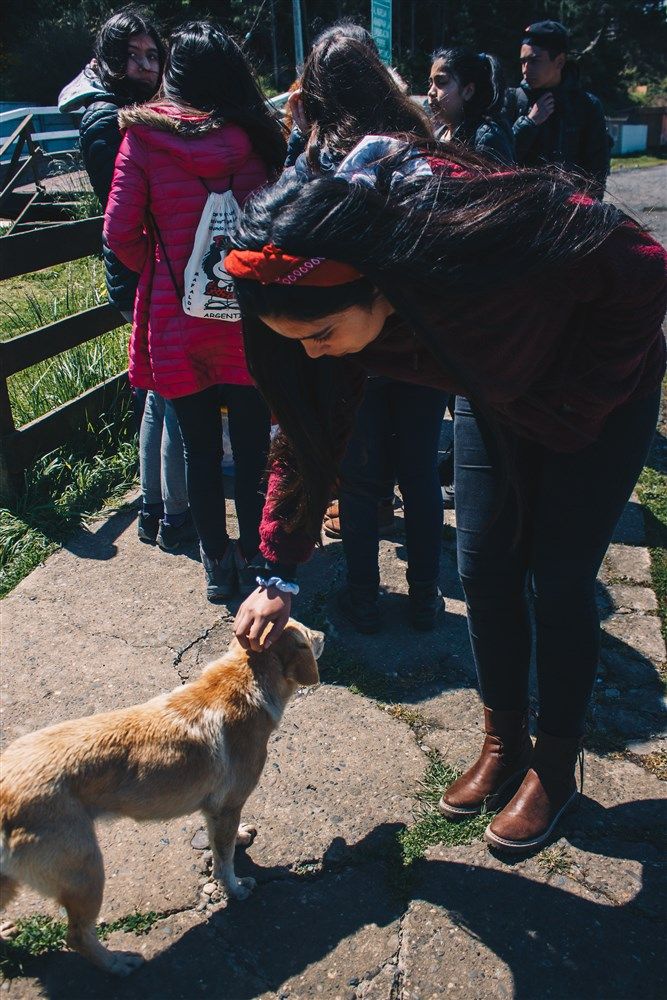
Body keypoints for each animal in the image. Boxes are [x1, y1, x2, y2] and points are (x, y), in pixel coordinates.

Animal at [0, 620, 323, 975]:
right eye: (308, 634)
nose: (323, 635)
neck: (244, 679)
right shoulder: (227, 806)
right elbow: (224, 864)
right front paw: (236, 889)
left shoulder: (217, 812)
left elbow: (224, 844)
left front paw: (239, 838)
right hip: (86, 871)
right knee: (77, 936)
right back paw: (116, 963)